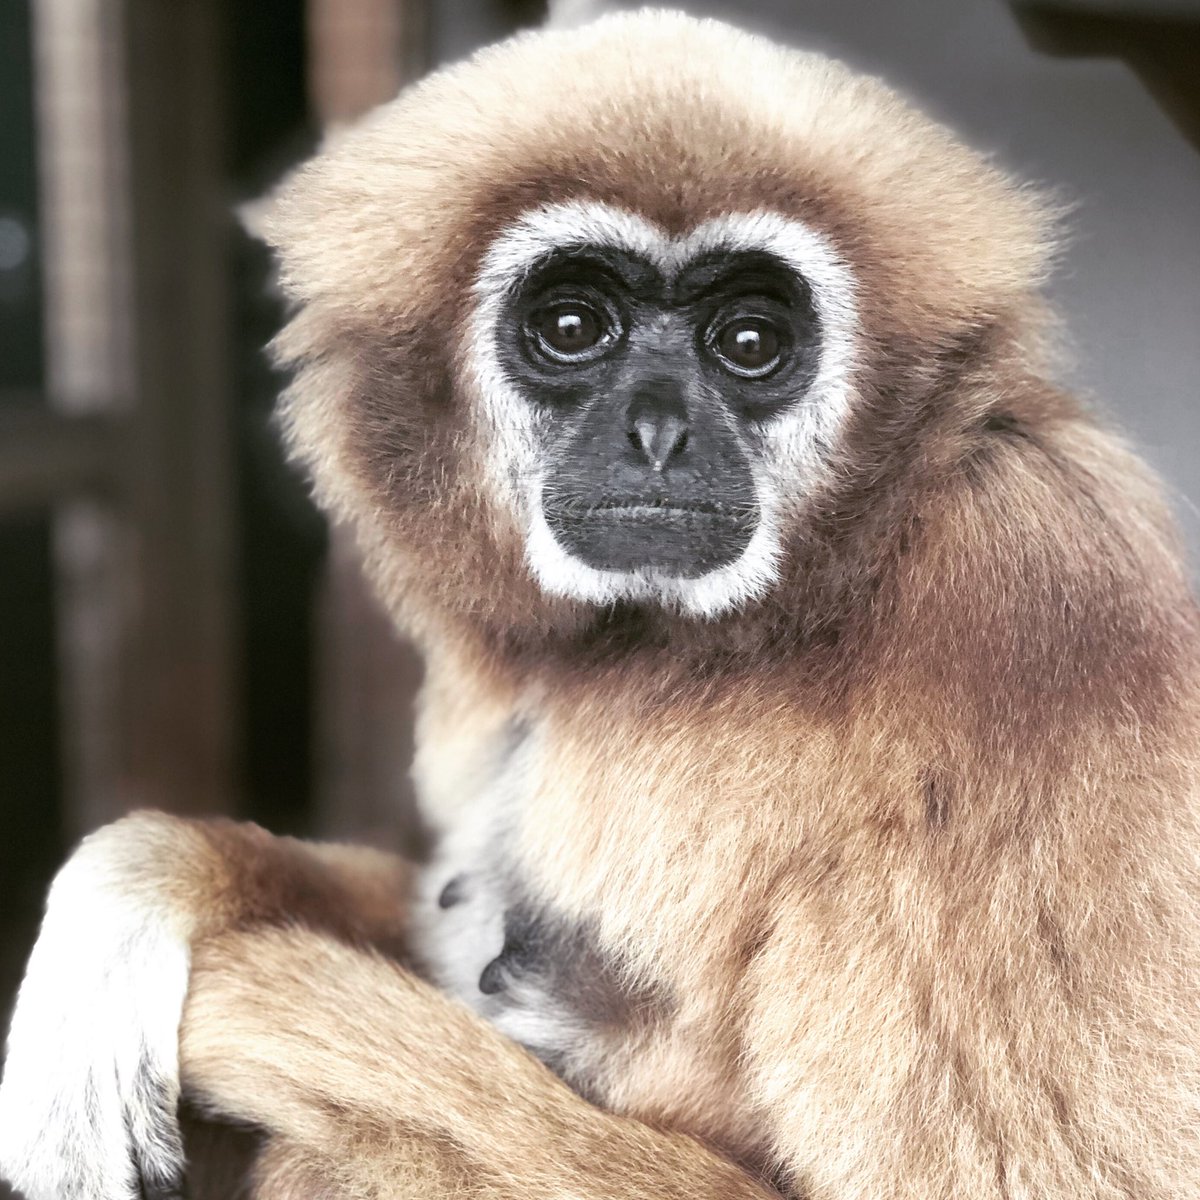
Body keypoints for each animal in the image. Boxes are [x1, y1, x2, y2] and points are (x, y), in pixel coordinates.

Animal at [2, 9, 1199, 1199]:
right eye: (573, 327)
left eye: (751, 343)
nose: (660, 431)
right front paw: (131, 892)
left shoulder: (1040, 591)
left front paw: (244, 996)